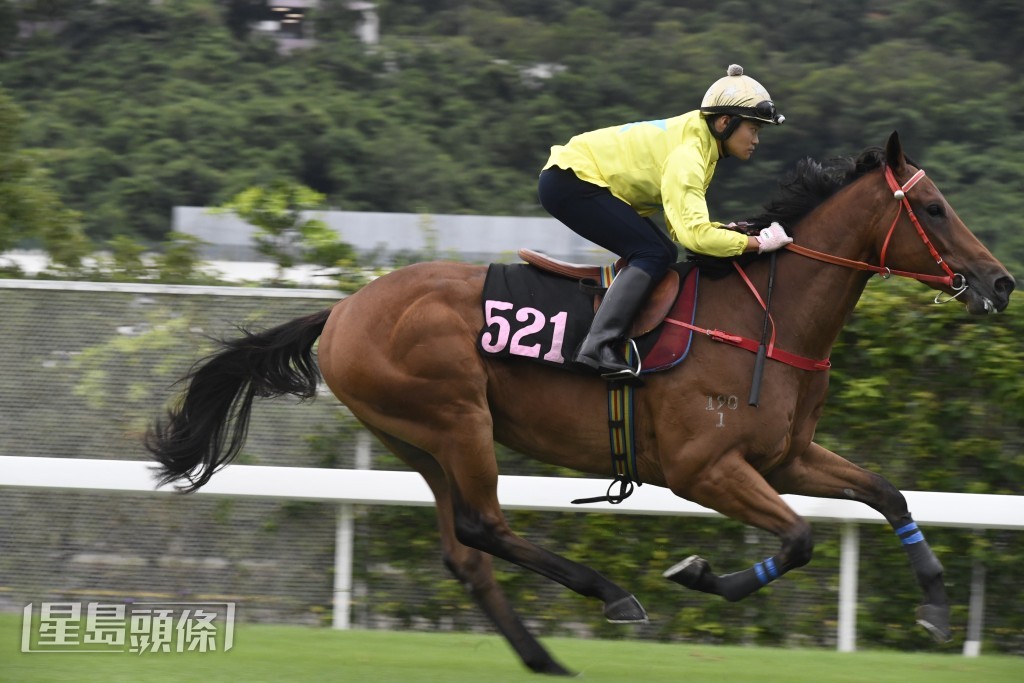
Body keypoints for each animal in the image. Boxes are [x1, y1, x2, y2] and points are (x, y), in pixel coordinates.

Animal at [148, 133, 1011, 671]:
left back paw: (547, 659)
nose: (1000, 281)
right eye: (934, 209)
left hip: (418, 442)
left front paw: (936, 611)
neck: (764, 314)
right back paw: (612, 594)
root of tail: (344, 310)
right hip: (458, 420)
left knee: (466, 551)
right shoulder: (703, 467)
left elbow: (886, 491)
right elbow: (798, 538)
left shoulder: (786, 456)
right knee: (485, 525)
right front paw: (699, 574)